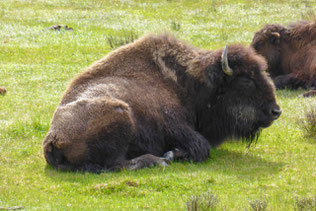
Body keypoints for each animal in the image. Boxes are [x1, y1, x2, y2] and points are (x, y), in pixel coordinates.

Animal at [42, 34, 282, 173]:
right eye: (246, 80)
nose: (275, 111)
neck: (189, 83)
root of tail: (52, 139)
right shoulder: (177, 127)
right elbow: (201, 148)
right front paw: (170, 155)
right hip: (121, 113)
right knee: (119, 164)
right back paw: (158, 161)